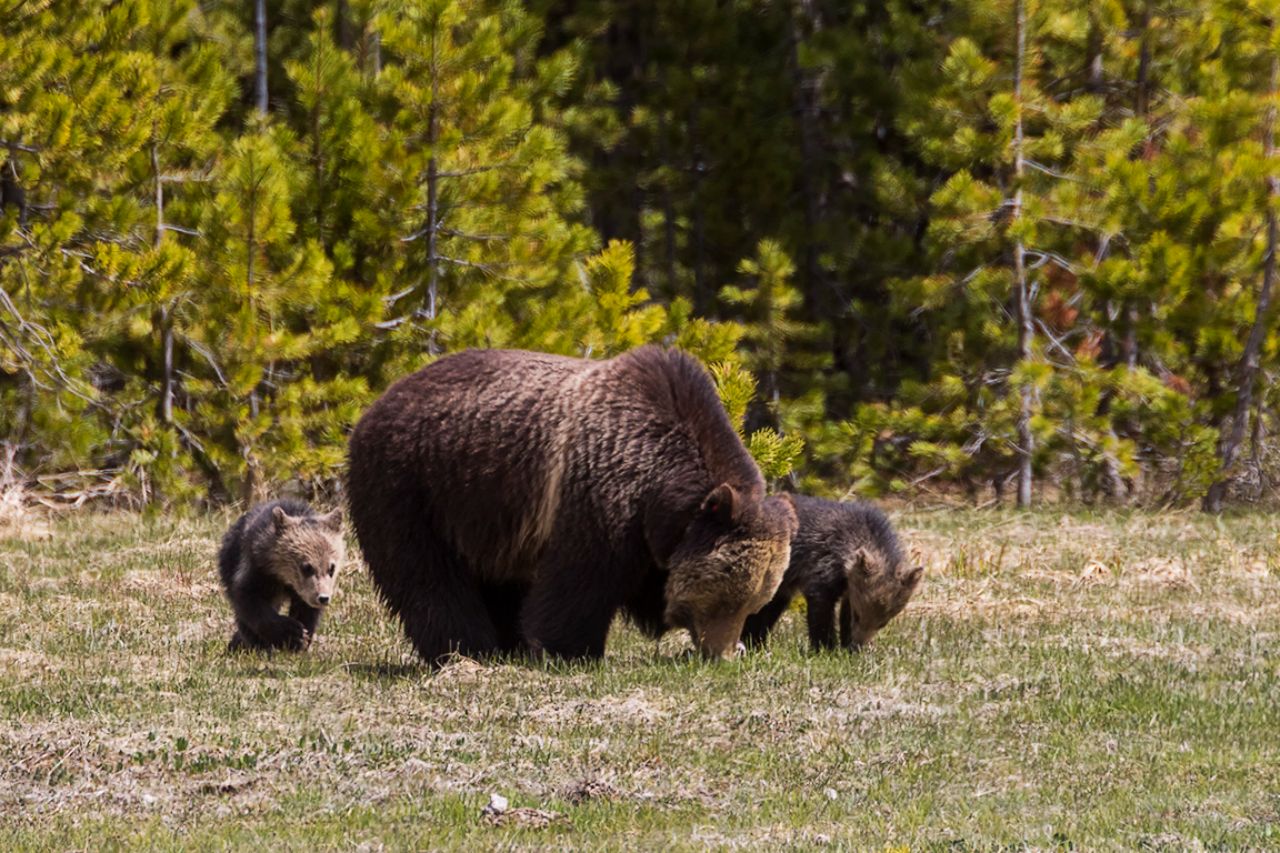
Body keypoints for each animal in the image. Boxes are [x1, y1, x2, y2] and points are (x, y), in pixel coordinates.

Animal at [218, 499, 346, 652]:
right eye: (306, 567)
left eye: (331, 568)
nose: (323, 598)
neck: (284, 579)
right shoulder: (257, 570)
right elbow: (249, 600)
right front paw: (291, 633)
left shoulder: (303, 594)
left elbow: (306, 611)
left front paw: (301, 641)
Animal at [345, 345, 798, 664]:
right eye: (725, 599)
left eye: (754, 603)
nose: (723, 653)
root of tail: (376, 403)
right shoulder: (599, 491)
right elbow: (579, 580)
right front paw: (569, 648)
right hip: (412, 484)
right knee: (426, 574)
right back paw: (466, 647)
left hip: (488, 510)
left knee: (496, 580)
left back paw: (505, 644)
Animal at [742, 495, 921, 651]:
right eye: (858, 615)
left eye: (883, 623)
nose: (857, 646)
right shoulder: (822, 568)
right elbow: (822, 609)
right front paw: (826, 648)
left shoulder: (851, 587)